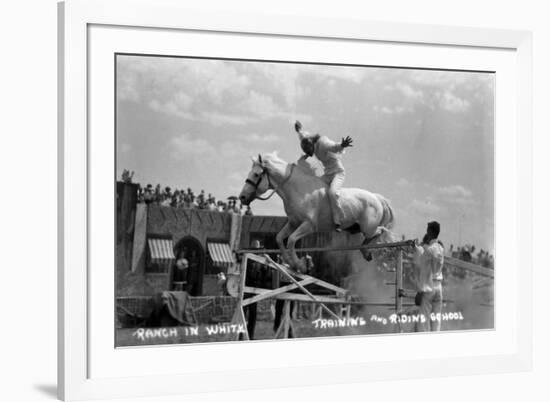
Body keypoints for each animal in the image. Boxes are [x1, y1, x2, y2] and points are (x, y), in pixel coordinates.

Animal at [238, 153, 396, 270]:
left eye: (256, 174)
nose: (242, 197)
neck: (299, 190)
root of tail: (377, 198)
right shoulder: (293, 223)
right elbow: (279, 238)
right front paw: (290, 263)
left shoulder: (308, 225)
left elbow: (291, 240)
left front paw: (300, 265)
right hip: (356, 229)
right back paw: (366, 252)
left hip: (367, 228)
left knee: (381, 231)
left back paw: (367, 251)